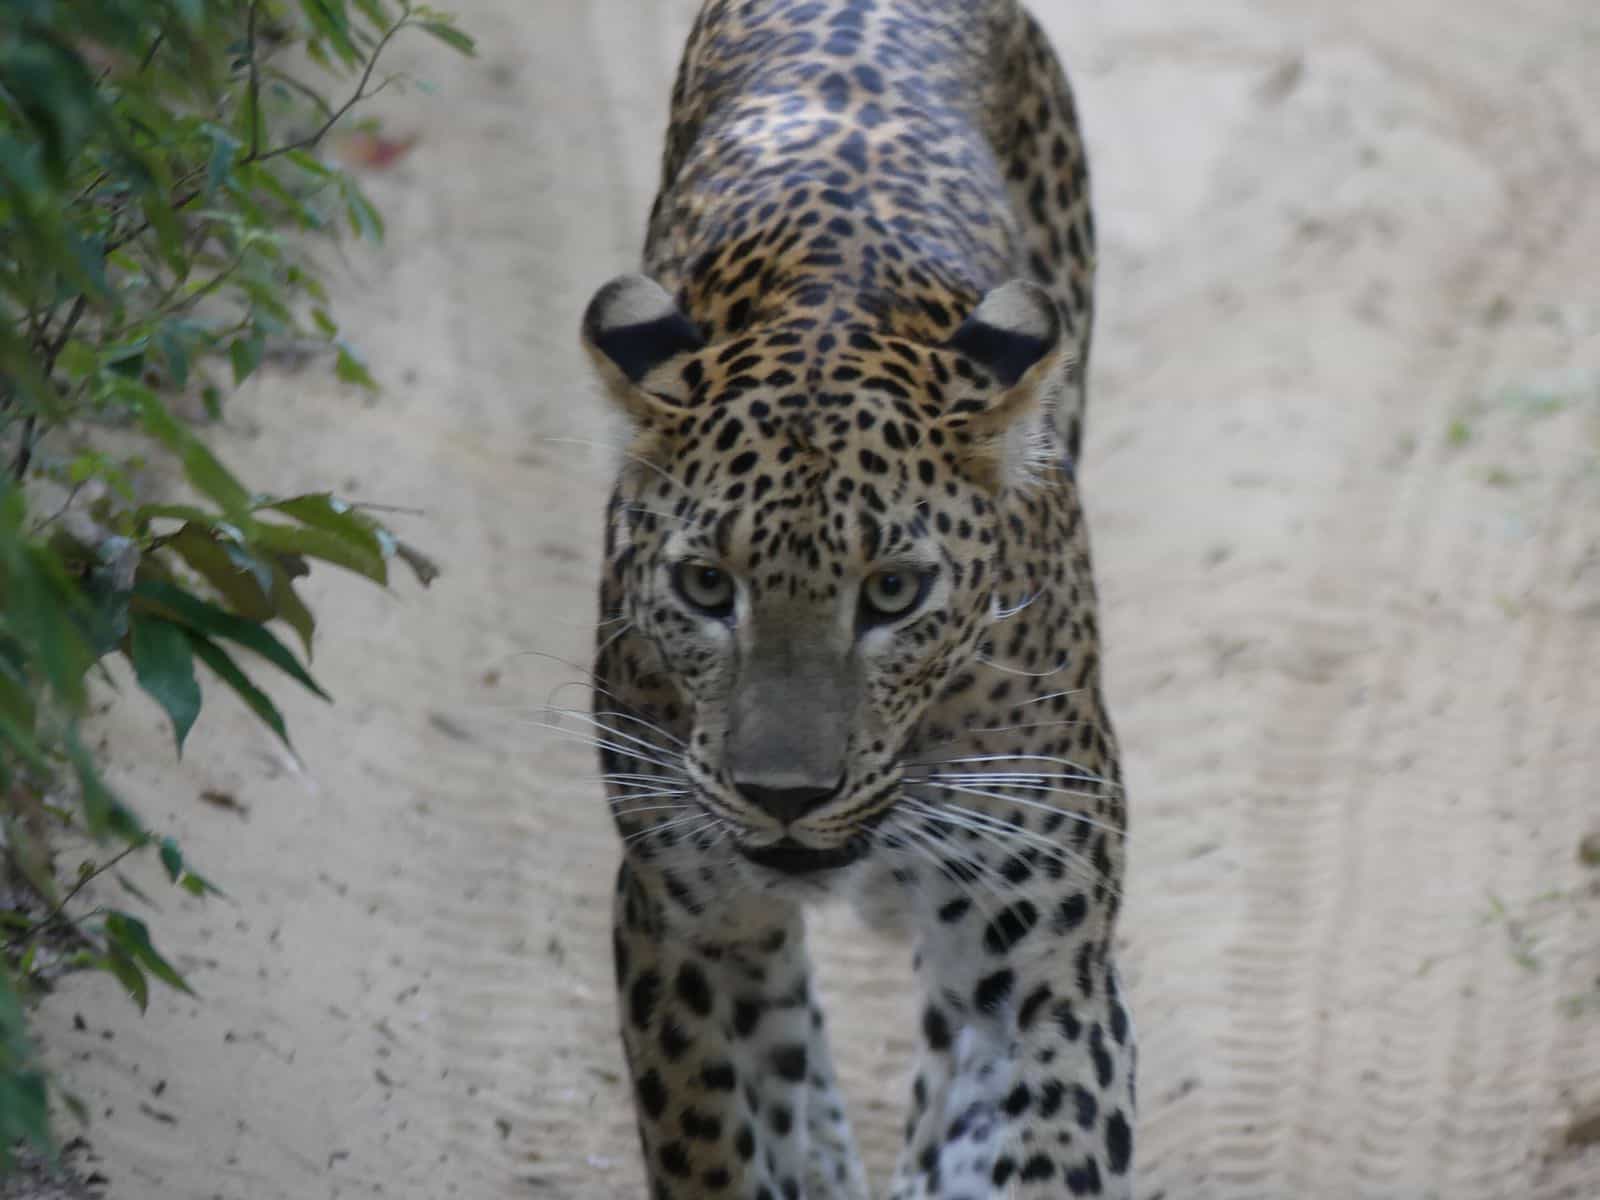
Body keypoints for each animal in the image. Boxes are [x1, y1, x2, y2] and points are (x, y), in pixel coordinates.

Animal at [582, 2, 1132, 1200]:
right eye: (706, 585)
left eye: (893, 592)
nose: (783, 795)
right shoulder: (680, 918)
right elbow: (717, 1144)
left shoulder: (1044, 958)